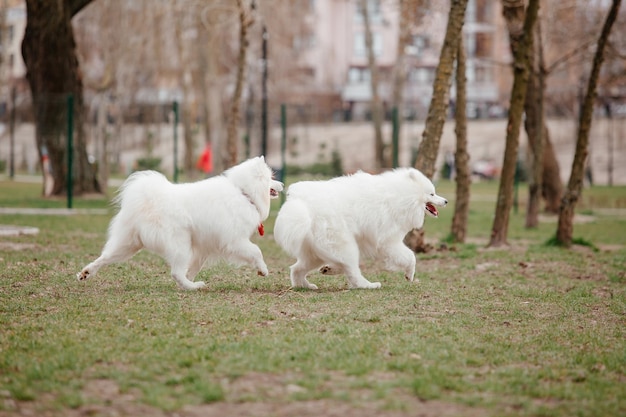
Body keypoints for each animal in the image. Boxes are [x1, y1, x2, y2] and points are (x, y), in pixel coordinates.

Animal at [76, 156, 282, 290]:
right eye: (272, 178)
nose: (282, 185)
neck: (244, 192)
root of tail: (150, 201)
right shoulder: (235, 241)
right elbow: (256, 251)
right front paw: (263, 270)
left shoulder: (206, 246)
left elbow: (194, 266)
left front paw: (189, 277)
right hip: (180, 243)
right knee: (175, 272)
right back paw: (194, 287)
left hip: (128, 245)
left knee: (105, 257)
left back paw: (86, 273)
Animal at [272, 168, 444, 290]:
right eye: (432, 194)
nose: (446, 201)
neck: (402, 196)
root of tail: (302, 205)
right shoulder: (389, 242)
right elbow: (410, 257)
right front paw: (409, 275)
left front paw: (330, 269)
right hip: (344, 244)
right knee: (353, 271)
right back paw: (369, 285)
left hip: (316, 253)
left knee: (296, 269)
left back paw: (304, 285)